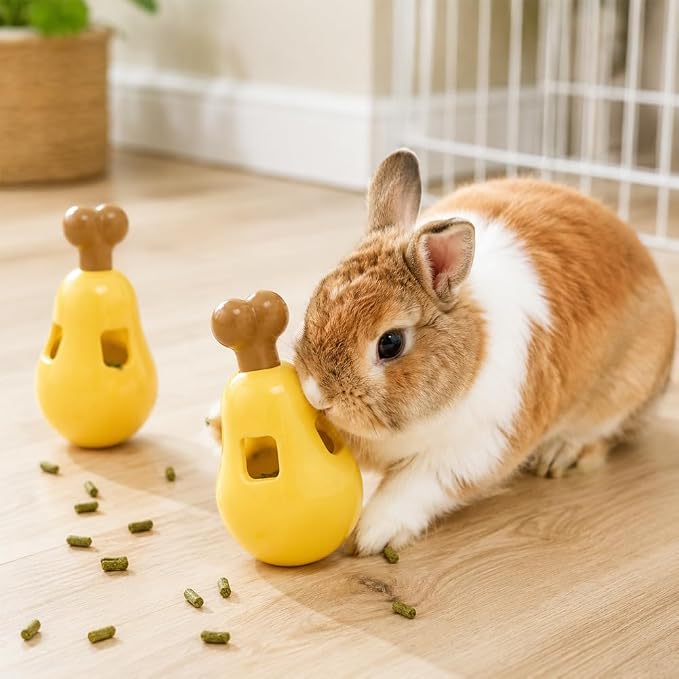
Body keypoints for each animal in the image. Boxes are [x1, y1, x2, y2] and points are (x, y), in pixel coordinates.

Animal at [287, 148, 676, 556]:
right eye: (314, 304)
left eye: (390, 343)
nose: (318, 396)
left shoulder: (473, 449)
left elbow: (416, 487)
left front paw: (372, 535)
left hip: (623, 391)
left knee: (601, 436)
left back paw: (558, 454)